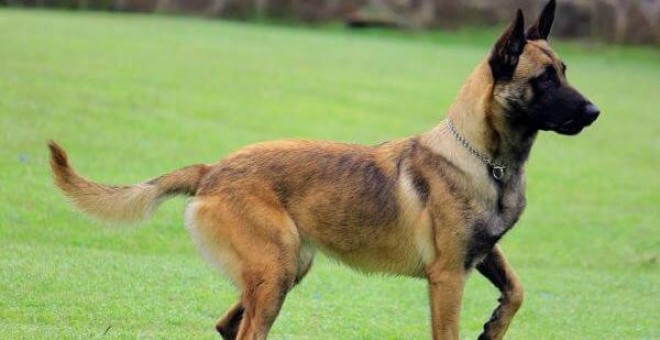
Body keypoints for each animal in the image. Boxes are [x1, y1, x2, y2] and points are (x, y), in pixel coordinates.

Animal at [49, 1, 600, 338]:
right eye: (544, 79)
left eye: (564, 72)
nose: (595, 112)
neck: (485, 160)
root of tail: (212, 170)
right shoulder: (447, 277)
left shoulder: (482, 254)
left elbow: (517, 291)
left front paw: (495, 325)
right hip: (276, 270)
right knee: (244, 329)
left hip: (286, 269)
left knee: (229, 325)